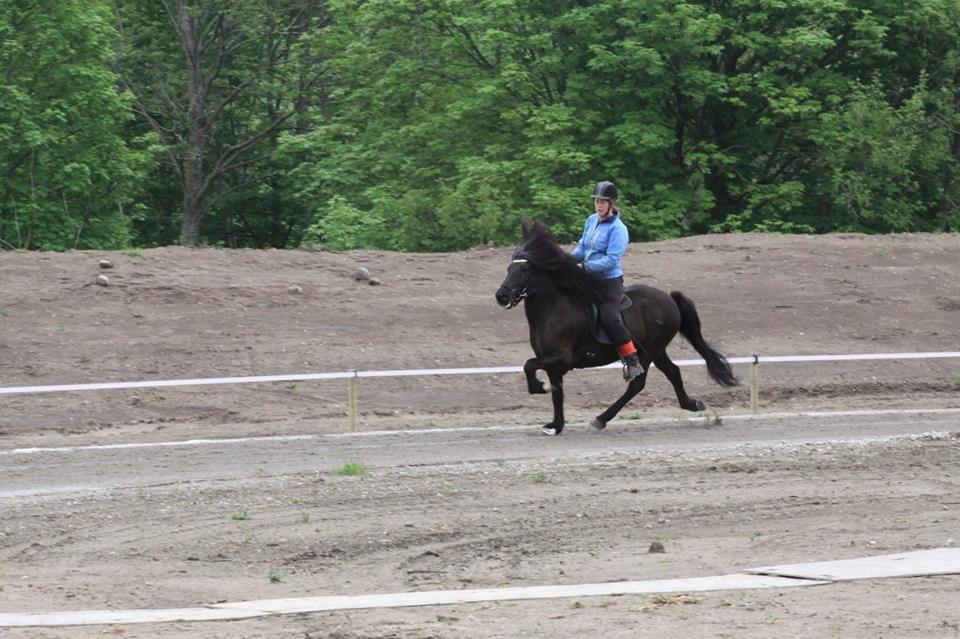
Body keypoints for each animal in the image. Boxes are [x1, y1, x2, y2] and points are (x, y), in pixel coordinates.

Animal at [496, 219, 736, 436]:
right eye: (508, 268)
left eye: (524, 269)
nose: (501, 296)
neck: (554, 310)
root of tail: (669, 298)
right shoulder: (552, 364)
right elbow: (557, 393)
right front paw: (556, 425)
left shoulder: (559, 360)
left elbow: (529, 366)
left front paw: (538, 387)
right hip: (656, 350)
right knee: (673, 372)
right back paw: (692, 404)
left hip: (649, 352)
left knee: (637, 384)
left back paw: (601, 419)